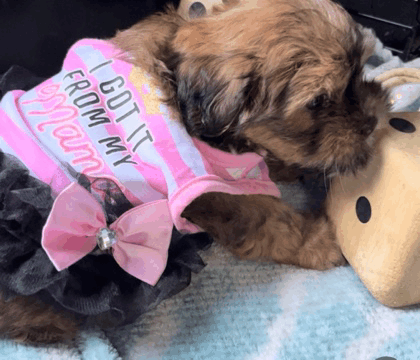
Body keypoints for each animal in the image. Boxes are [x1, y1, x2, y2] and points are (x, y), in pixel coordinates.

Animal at [0, 0, 388, 344]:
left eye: (360, 72)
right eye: (318, 102)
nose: (371, 123)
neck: (178, 84)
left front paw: (284, 163)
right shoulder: (208, 190)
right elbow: (269, 218)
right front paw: (318, 241)